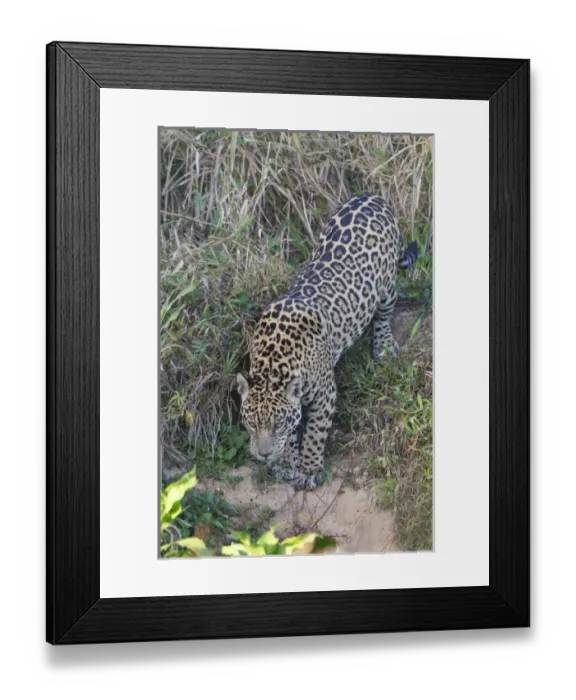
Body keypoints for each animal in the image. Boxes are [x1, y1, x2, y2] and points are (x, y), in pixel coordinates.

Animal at [236, 192, 420, 490]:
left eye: (277, 424)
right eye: (252, 422)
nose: (263, 455)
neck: (275, 361)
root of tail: (373, 196)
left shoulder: (325, 395)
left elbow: (314, 435)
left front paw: (309, 470)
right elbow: (293, 435)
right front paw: (286, 463)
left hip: (385, 285)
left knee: (384, 311)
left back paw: (383, 345)